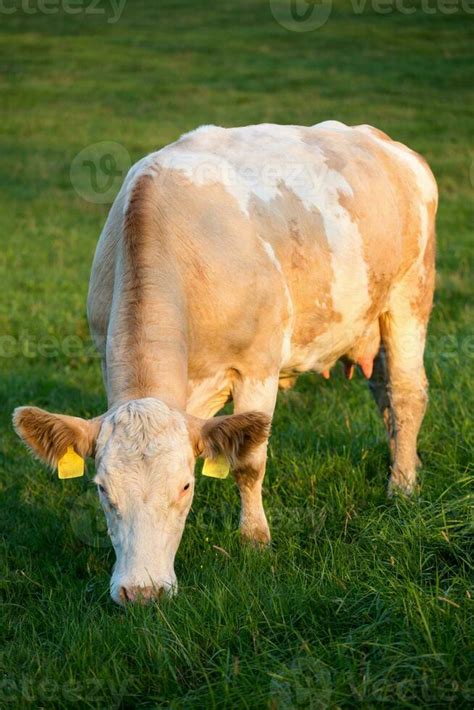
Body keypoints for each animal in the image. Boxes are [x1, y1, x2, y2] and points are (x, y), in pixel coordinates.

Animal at [13, 122, 436, 608]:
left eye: (185, 485)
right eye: (102, 489)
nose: (143, 593)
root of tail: (384, 141)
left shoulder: (257, 366)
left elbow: (249, 462)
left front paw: (255, 540)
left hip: (410, 294)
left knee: (406, 394)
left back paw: (402, 486)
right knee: (384, 395)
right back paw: (405, 461)